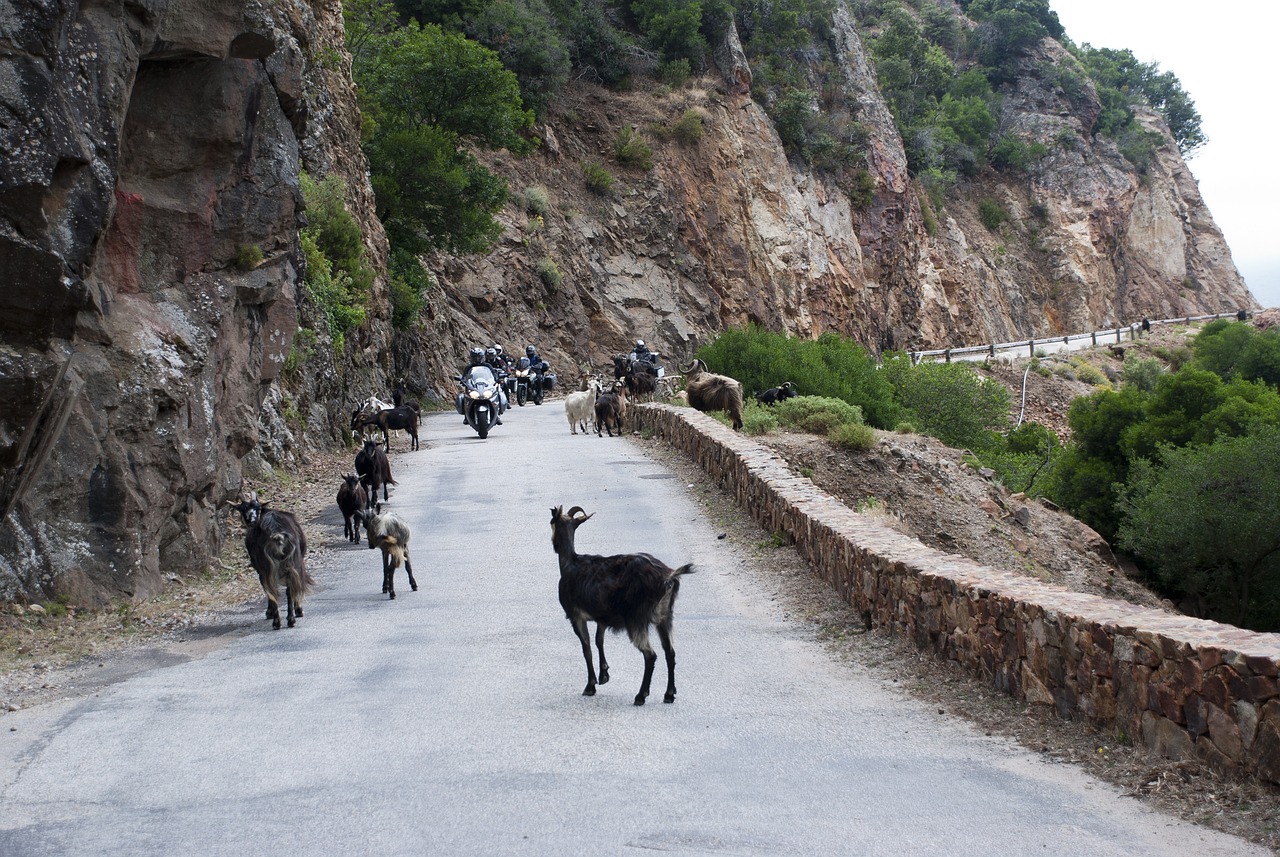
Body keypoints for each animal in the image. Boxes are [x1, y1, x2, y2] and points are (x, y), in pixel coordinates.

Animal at [231, 493, 311, 626]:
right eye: (243, 509)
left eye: (258, 508)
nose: (252, 521)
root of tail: (276, 531)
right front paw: (298, 609)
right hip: (288, 561)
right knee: (285, 588)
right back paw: (288, 620)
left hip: (269, 565)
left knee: (274, 589)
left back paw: (279, 620)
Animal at [547, 506, 696, 706]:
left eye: (551, 522)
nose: (554, 545)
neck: (570, 563)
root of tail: (668, 577)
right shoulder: (602, 617)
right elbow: (599, 640)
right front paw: (604, 674)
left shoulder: (575, 615)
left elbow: (587, 647)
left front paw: (590, 686)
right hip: (665, 616)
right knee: (670, 653)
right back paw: (669, 694)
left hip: (636, 618)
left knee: (650, 655)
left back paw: (641, 695)